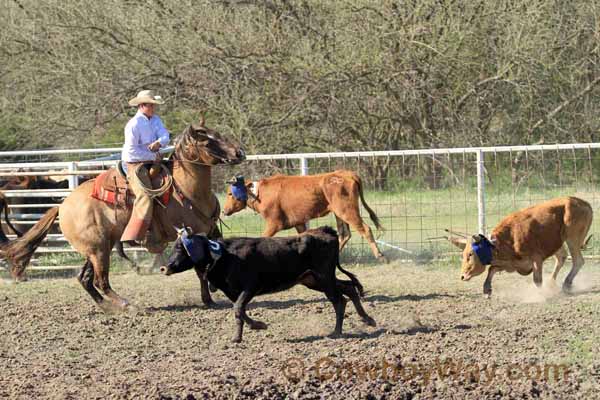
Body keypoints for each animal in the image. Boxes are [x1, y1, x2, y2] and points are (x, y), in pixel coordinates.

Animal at [2, 119, 245, 312]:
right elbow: (200, 269)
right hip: (99, 250)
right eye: (207, 141)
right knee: (100, 281)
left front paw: (214, 291)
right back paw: (127, 306)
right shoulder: (190, 236)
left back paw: (108, 308)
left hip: (95, 250)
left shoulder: (211, 230)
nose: (239, 153)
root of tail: (62, 206)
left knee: (85, 279)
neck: (188, 189)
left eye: (218, 133)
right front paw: (208, 298)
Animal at [223, 170, 386, 260]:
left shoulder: (273, 224)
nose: (224, 211)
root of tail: (347, 174)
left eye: (230, 193)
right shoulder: (299, 223)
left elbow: (263, 238)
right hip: (339, 214)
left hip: (347, 211)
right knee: (344, 234)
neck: (259, 193)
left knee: (365, 229)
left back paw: (380, 256)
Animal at [448, 197, 592, 296]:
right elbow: (492, 269)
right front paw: (487, 288)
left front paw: (540, 295)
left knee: (578, 260)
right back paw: (551, 283)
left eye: (470, 254)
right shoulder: (510, 264)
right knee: (561, 258)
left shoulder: (536, 258)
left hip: (572, 237)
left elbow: (537, 280)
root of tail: (584, 203)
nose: (462, 276)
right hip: (558, 242)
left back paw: (566, 283)